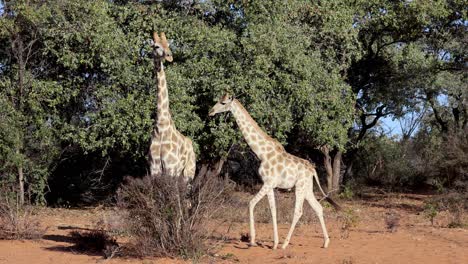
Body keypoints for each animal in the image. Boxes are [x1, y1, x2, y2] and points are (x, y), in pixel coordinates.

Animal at [148, 32, 196, 183]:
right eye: (156, 46)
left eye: (169, 44)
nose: (169, 56)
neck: (161, 125)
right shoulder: (154, 168)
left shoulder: (170, 167)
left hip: (188, 172)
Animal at [208, 93, 340, 250]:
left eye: (223, 103)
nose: (210, 111)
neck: (261, 153)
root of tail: (313, 170)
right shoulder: (269, 185)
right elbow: (273, 211)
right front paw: (274, 243)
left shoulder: (268, 183)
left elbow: (251, 203)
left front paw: (252, 241)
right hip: (307, 187)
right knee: (318, 207)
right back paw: (325, 242)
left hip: (300, 186)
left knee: (298, 211)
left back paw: (285, 243)